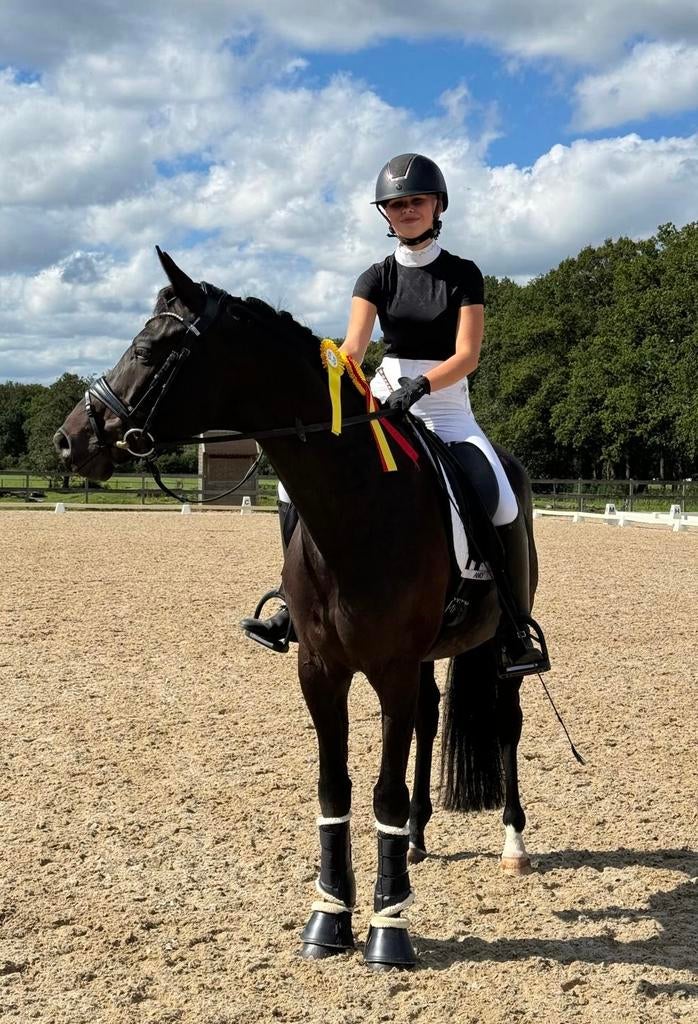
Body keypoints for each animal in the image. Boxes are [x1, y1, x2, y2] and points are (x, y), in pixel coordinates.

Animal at [54, 249, 537, 970]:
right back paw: (419, 837)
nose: (69, 440)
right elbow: (334, 789)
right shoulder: (320, 669)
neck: (358, 504)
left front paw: (388, 929)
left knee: (505, 722)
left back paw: (512, 844)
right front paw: (328, 918)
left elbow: (382, 790)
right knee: (430, 717)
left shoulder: (390, 667)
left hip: (502, 638)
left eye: (150, 348)